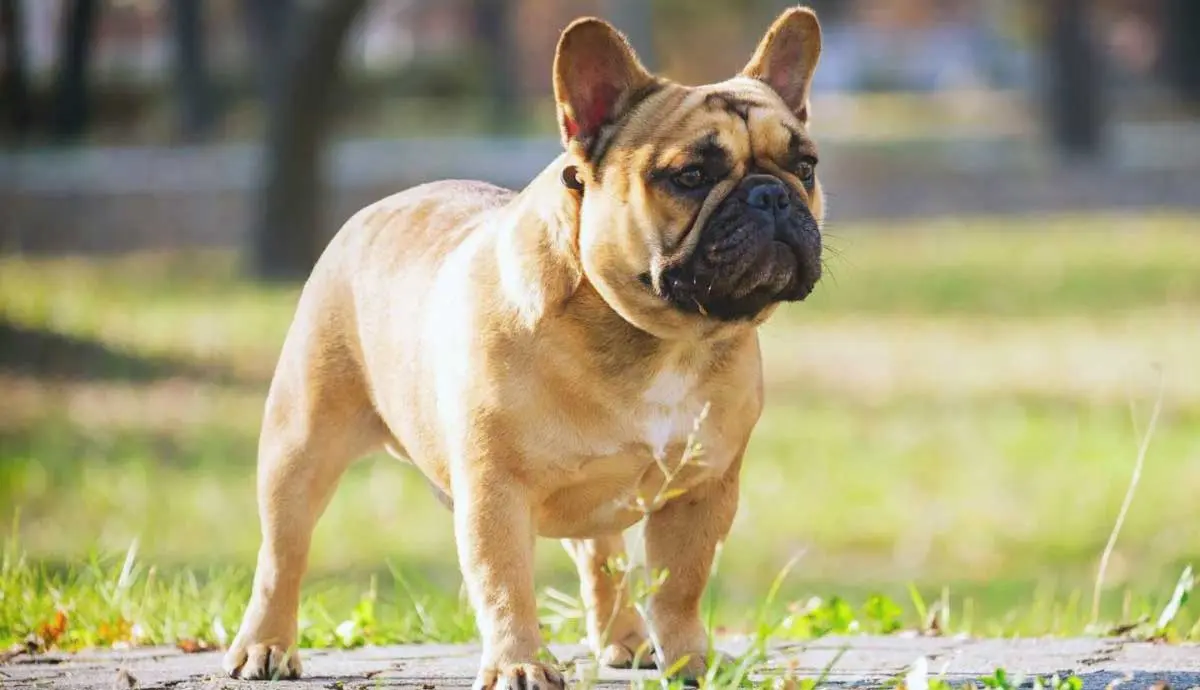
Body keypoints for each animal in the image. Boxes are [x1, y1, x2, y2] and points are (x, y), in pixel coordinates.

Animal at [223, 6, 825, 690]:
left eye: (806, 167)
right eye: (690, 176)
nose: (772, 195)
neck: (662, 339)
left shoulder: (701, 488)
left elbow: (680, 585)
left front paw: (687, 662)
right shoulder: (496, 492)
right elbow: (505, 582)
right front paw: (519, 665)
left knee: (600, 558)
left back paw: (625, 640)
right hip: (301, 446)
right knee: (282, 553)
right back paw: (264, 647)